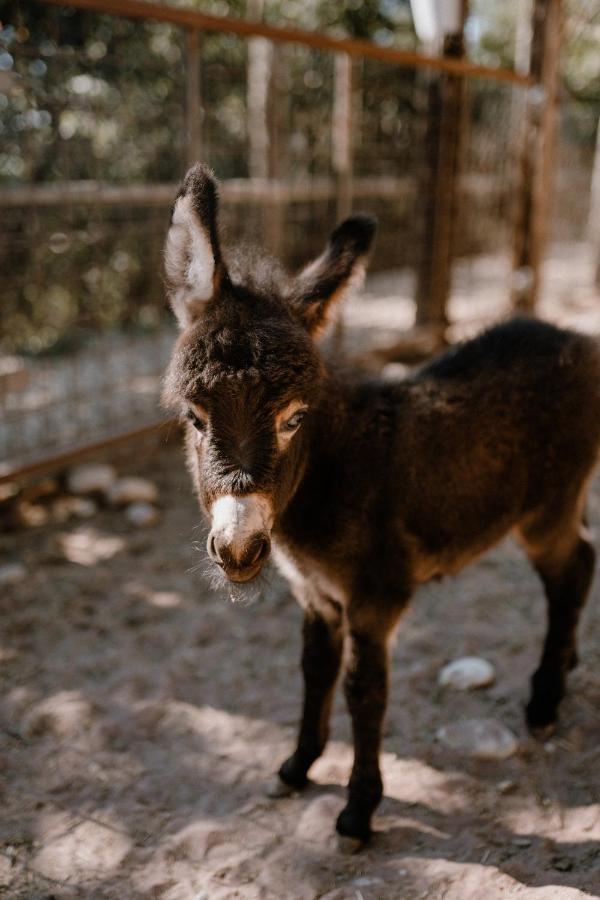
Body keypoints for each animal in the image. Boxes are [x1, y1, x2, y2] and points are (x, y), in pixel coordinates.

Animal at [164, 165, 600, 848]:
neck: (331, 473)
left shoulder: (376, 596)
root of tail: (575, 338)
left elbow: (363, 691)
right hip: (564, 500)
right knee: (584, 557)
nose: (238, 550)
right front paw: (296, 766)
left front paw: (358, 810)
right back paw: (567, 663)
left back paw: (544, 701)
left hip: (544, 513)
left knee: (572, 568)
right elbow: (314, 670)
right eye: (194, 417)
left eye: (294, 418)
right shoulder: (315, 595)